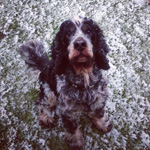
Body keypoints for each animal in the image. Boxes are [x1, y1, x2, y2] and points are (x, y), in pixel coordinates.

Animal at [18, 16, 112, 149]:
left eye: (88, 31)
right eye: (68, 33)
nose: (80, 44)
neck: (83, 75)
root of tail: (45, 66)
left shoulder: (100, 97)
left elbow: (99, 113)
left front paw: (103, 124)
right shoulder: (67, 110)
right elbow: (72, 128)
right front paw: (75, 142)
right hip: (48, 92)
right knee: (42, 103)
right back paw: (46, 118)